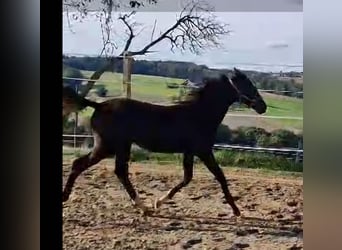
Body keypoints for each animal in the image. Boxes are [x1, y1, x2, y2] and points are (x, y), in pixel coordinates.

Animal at [63, 68, 268, 217]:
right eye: (248, 85)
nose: (263, 107)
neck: (200, 115)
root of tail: (99, 105)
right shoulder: (203, 151)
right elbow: (220, 177)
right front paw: (236, 210)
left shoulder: (190, 152)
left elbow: (188, 178)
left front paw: (158, 202)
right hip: (108, 146)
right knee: (83, 165)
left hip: (120, 147)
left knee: (116, 171)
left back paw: (142, 206)